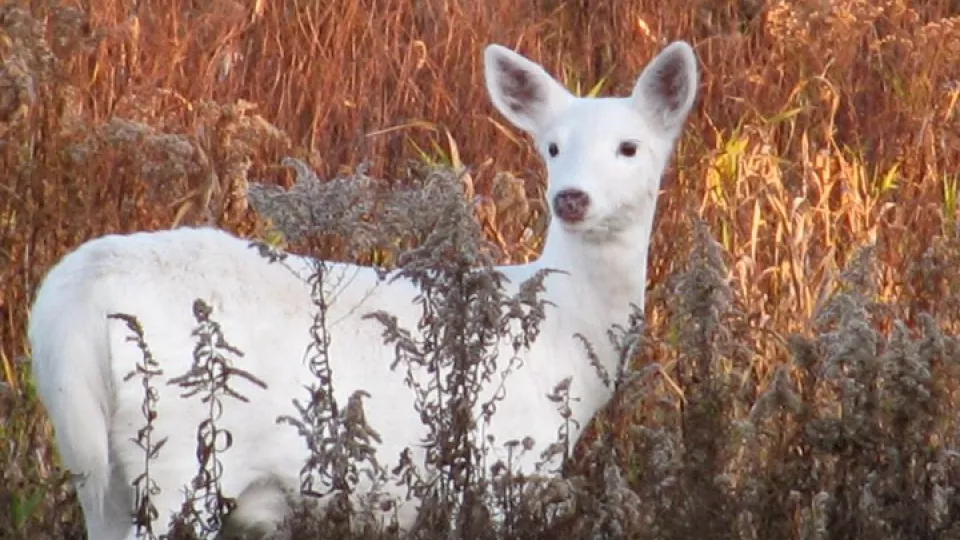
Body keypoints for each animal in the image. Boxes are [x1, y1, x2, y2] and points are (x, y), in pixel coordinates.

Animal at [28, 40, 696, 536]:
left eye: (630, 147)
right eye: (553, 147)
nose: (572, 198)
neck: (563, 334)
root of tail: (70, 302)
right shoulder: (497, 466)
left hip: (103, 471)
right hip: (178, 456)